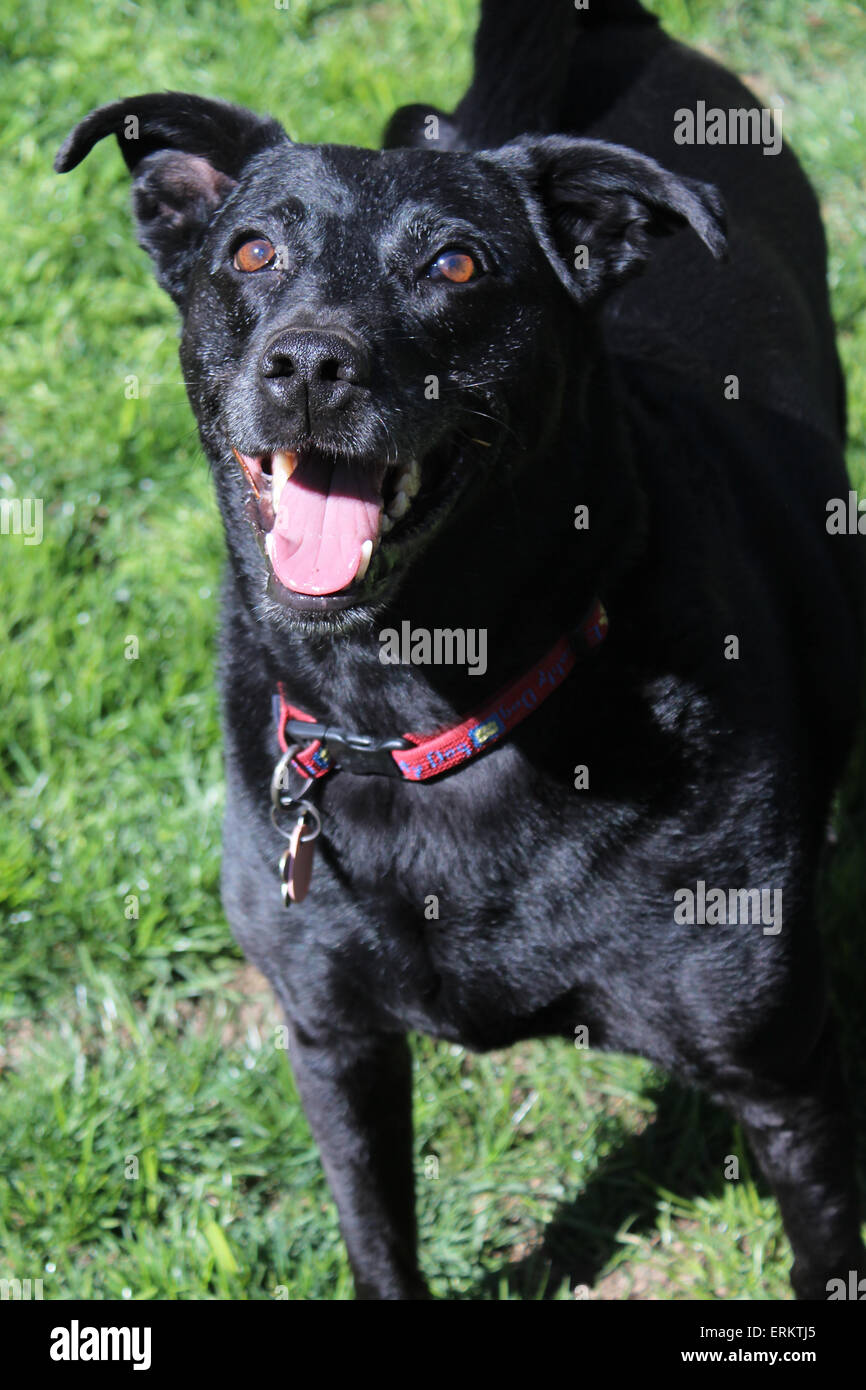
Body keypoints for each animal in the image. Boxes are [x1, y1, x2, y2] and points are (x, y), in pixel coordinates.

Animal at [57, 0, 861, 1301]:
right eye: (250, 254)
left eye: (456, 265)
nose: (306, 363)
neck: (427, 705)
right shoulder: (333, 1038)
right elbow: (378, 1235)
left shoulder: (784, 1078)